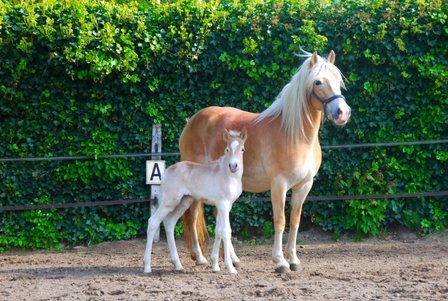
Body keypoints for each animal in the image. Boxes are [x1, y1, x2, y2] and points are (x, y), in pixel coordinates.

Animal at [144, 127, 247, 274]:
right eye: (227, 149)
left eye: (242, 149)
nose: (234, 166)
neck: (228, 175)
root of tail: (168, 171)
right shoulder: (223, 203)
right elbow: (226, 231)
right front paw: (230, 267)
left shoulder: (226, 206)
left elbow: (218, 231)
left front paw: (215, 266)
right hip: (169, 202)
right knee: (153, 222)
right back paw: (147, 266)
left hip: (184, 202)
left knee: (169, 223)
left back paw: (178, 265)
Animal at [180, 49, 352, 272]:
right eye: (318, 82)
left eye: (338, 81)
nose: (342, 113)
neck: (295, 135)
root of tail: (191, 121)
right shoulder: (279, 185)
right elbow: (280, 221)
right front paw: (280, 261)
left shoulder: (304, 185)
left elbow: (295, 221)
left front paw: (293, 259)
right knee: (192, 217)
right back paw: (200, 257)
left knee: (220, 217)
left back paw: (232, 258)